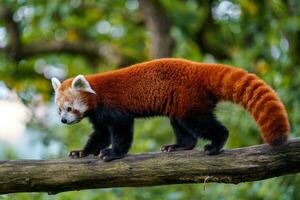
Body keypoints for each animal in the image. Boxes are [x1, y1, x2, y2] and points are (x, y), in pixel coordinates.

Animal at [52, 57, 290, 161]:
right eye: (59, 110)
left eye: (70, 108)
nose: (63, 121)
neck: (97, 93)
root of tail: (198, 68)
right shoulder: (99, 116)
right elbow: (100, 134)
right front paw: (82, 152)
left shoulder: (114, 107)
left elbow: (122, 131)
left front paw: (113, 153)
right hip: (179, 103)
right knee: (182, 127)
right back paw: (179, 146)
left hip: (189, 101)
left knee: (201, 123)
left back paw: (215, 144)